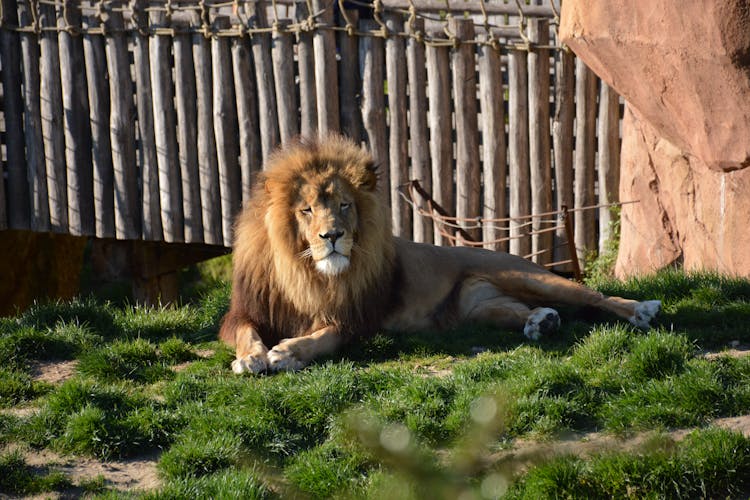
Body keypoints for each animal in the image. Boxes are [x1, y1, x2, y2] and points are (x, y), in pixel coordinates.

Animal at [220, 135, 660, 374]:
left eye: (344, 205)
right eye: (307, 210)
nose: (332, 236)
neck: (306, 271)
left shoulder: (355, 320)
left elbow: (321, 337)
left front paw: (286, 352)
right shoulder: (246, 311)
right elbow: (245, 333)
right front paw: (251, 358)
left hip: (527, 275)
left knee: (591, 295)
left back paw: (640, 310)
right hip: (478, 309)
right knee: (520, 311)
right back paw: (542, 322)